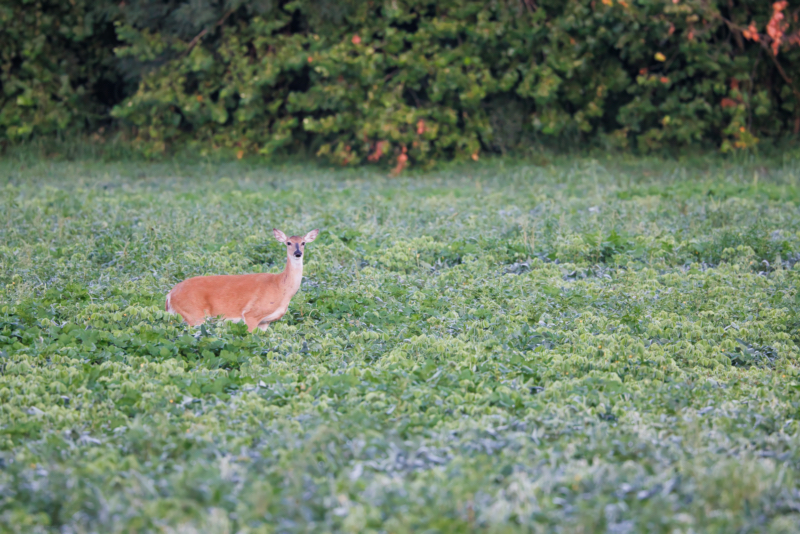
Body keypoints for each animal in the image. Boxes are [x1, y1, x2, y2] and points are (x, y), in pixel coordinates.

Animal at [165, 229, 318, 332]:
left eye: (303, 243)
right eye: (288, 243)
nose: (297, 253)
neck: (280, 285)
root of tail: (169, 295)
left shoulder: (265, 322)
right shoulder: (251, 314)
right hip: (194, 314)